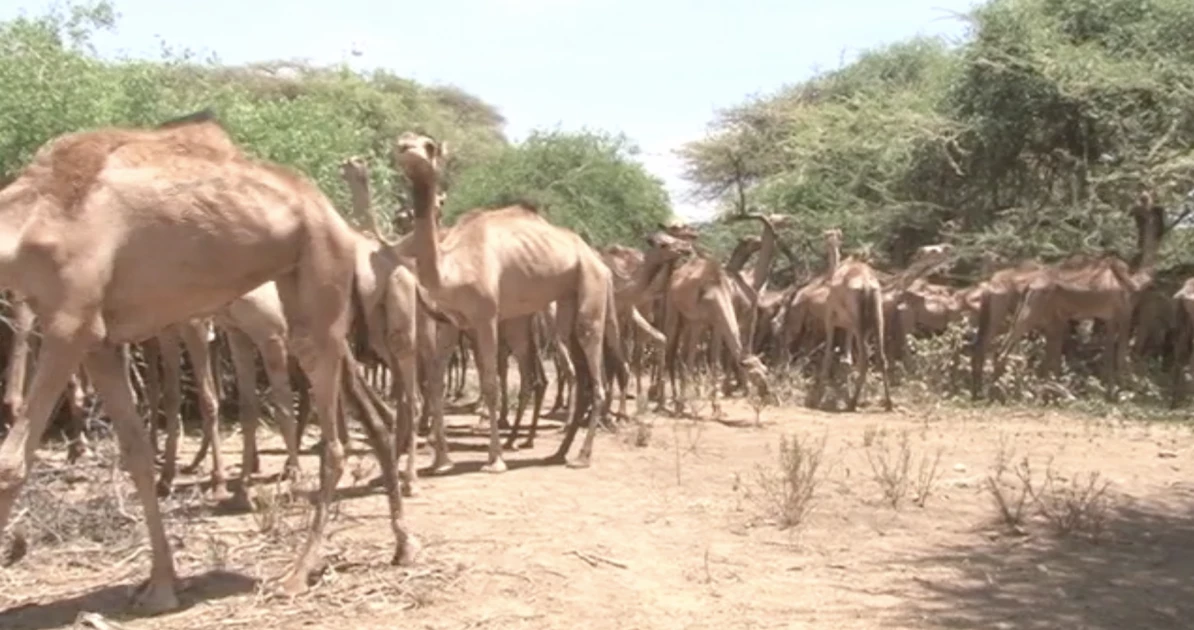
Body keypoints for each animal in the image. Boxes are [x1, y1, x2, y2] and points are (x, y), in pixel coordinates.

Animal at [0, 110, 413, 608]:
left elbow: (11, 462)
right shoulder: (100, 341)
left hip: (319, 280)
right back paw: (401, 544)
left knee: (334, 444)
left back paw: (297, 573)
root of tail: (338, 219)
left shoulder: (70, 324)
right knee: (372, 417)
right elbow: (137, 454)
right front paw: (161, 585)